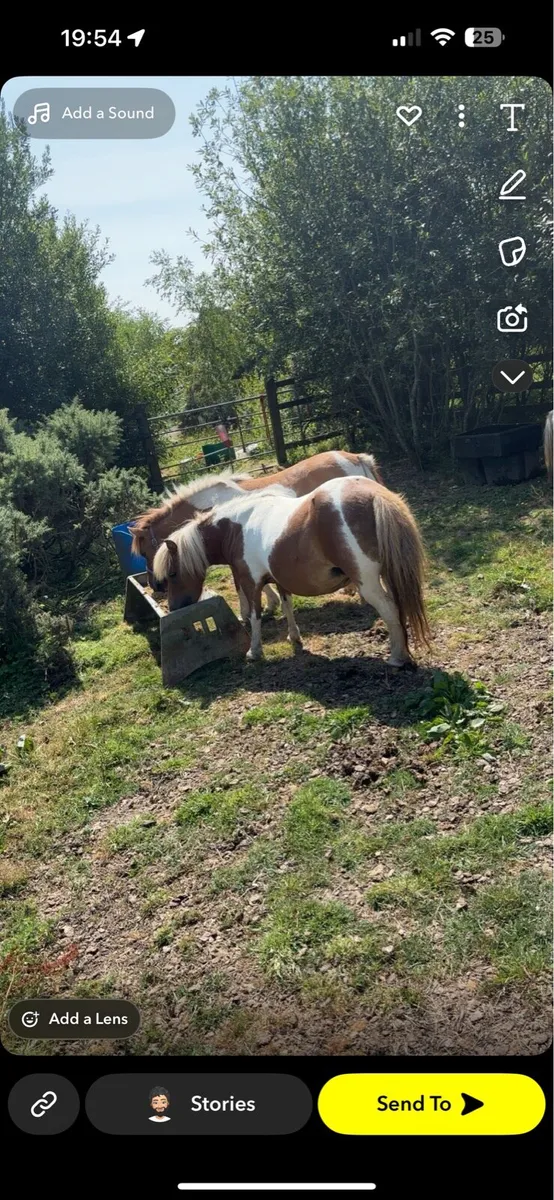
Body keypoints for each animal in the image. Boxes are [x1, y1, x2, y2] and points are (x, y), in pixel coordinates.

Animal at [152, 475, 430, 668]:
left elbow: (254, 616)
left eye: (172, 574)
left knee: (390, 609)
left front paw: (254, 652)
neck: (234, 527)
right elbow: (287, 606)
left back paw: (398, 658)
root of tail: (373, 493)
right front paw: (294, 638)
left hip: (368, 582)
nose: (173, 607)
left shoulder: (251, 582)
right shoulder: (280, 578)